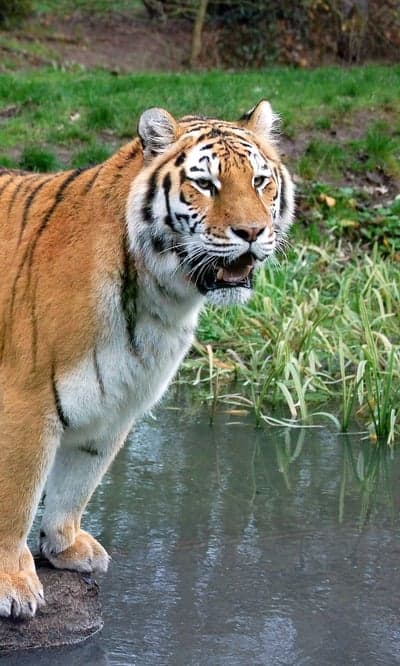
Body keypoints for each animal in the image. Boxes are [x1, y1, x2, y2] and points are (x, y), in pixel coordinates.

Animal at [0, 100, 294, 618]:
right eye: (206, 184)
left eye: (260, 181)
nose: (253, 232)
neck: (162, 296)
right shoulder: (25, 400)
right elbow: (15, 499)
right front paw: (13, 583)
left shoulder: (116, 400)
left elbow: (79, 481)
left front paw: (65, 546)